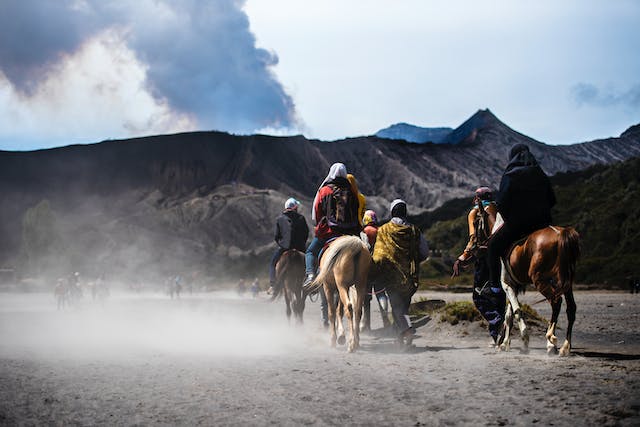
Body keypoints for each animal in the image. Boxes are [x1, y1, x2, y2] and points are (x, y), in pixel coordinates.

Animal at [498, 214, 584, 358]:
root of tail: (560, 233)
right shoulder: (514, 287)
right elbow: (509, 314)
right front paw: (505, 343)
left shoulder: (507, 285)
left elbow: (515, 312)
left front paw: (523, 342)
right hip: (566, 283)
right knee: (571, 308)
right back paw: (564, 347)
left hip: (541, 281)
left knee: (556, 302)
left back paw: (550, 338)